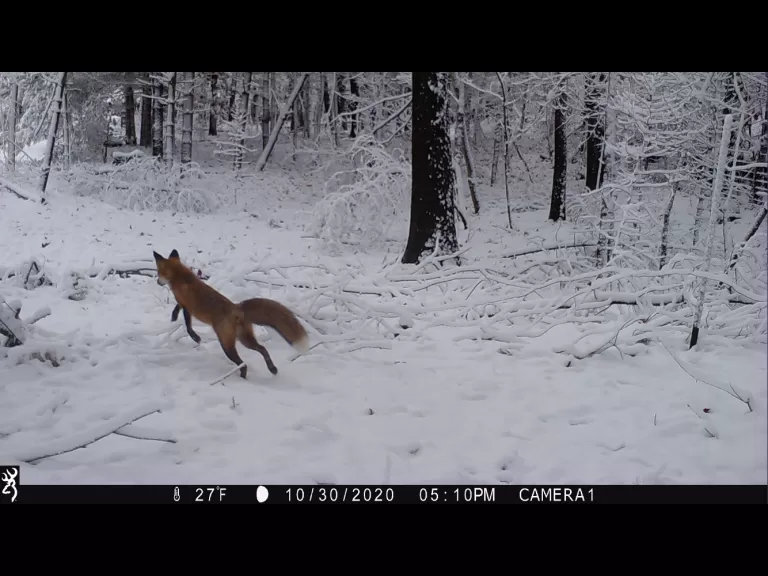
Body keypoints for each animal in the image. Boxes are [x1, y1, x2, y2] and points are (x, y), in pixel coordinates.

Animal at [153, 249, 309, 379]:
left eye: (159, 272)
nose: (157, 282)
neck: (181, 277)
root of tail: (237, 308)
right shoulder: (183, 303)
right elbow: (178, 308)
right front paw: (174, 316)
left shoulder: (187, 306)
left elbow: (187, 324)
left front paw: (194, 336)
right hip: (245, 340)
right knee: (262, 349)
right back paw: (272, 369)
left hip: (226, 344)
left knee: (243, 363)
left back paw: (242, 378)